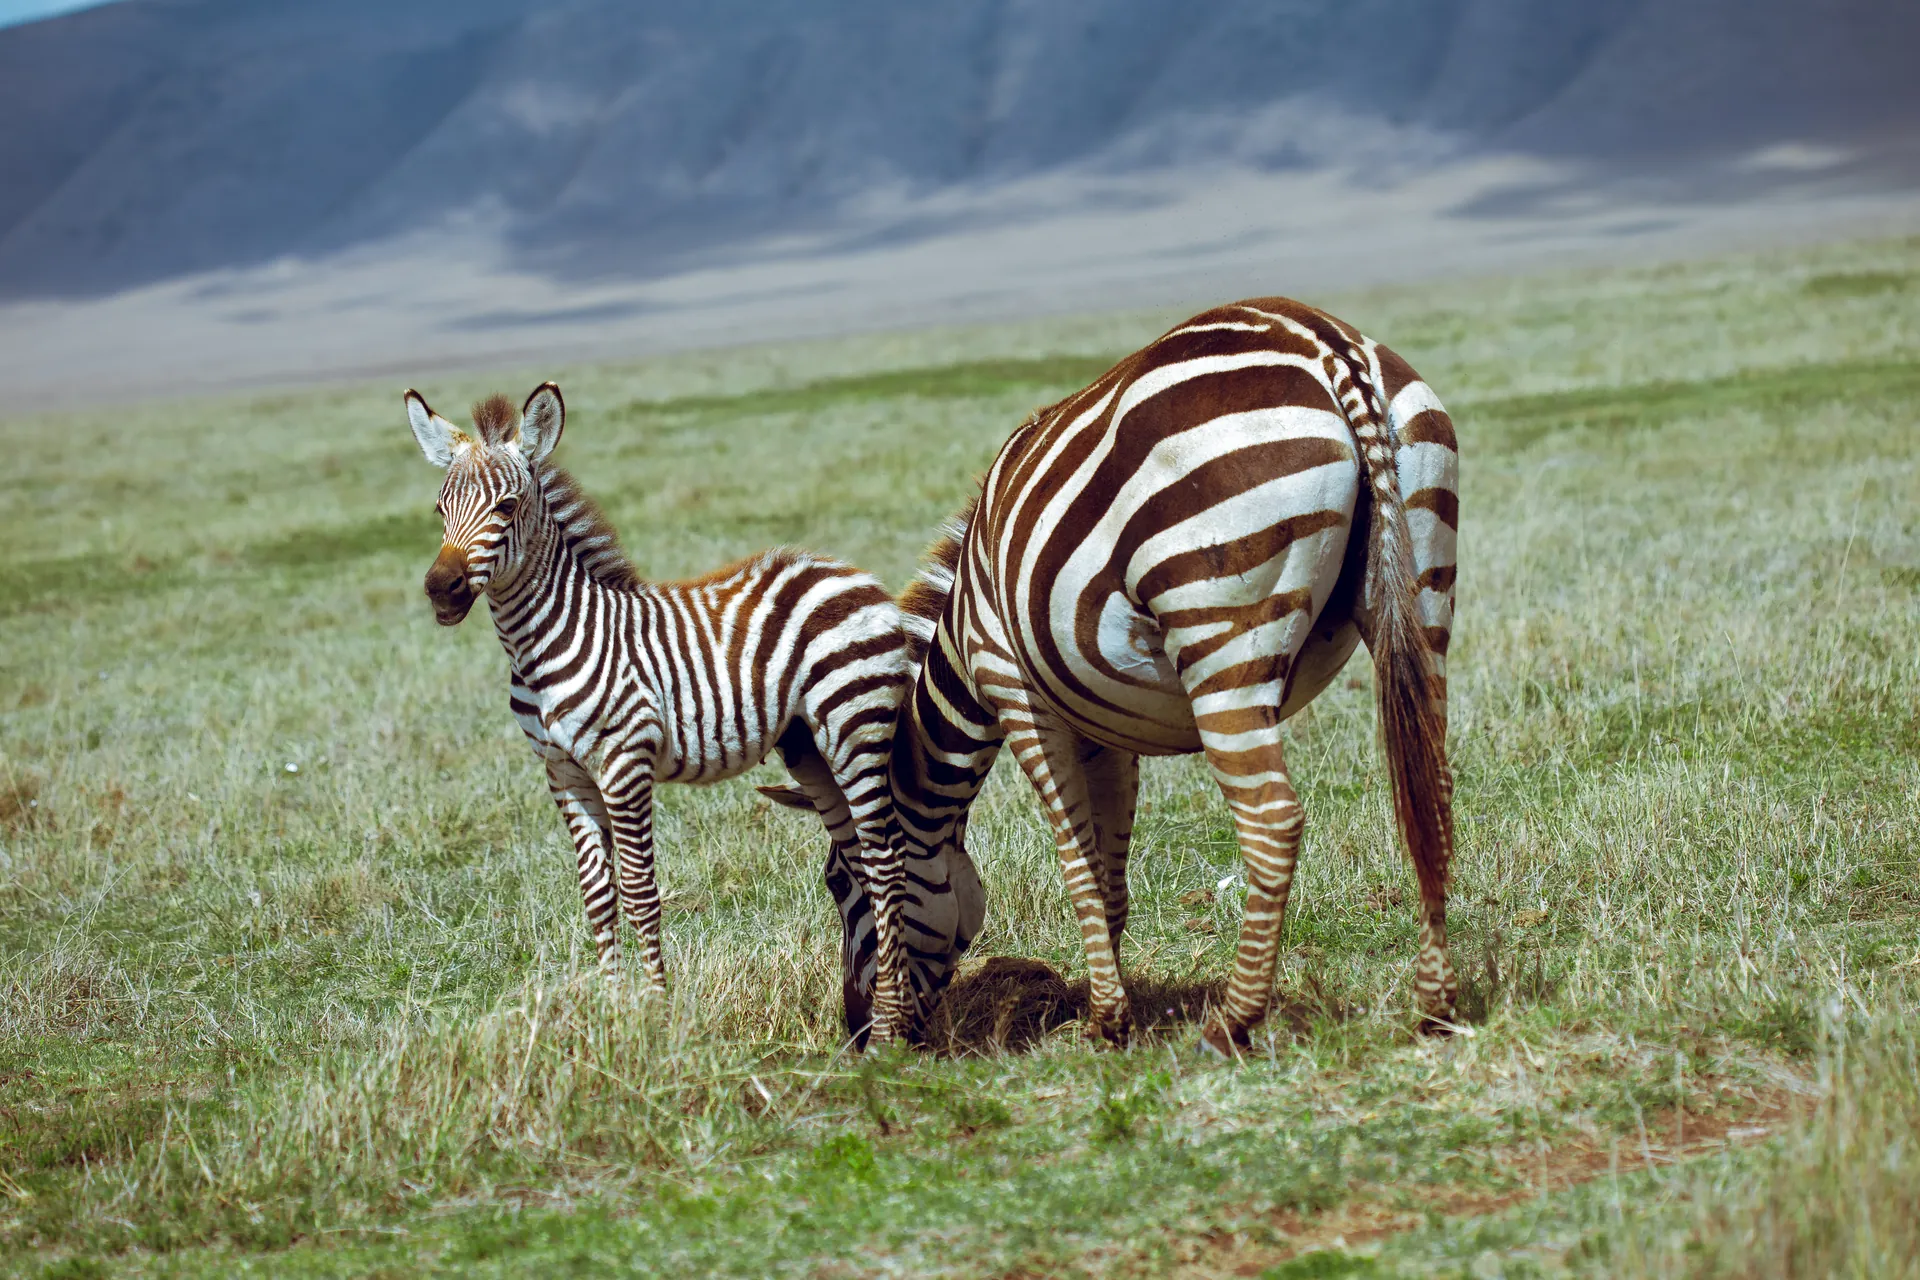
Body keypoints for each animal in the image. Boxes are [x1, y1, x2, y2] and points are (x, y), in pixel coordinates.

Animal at [401, 381, 972, 1043]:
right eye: (440, 509)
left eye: (508, 506)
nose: (440, 589)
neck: (542, 644)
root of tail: (848, 573)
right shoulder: (563, 774)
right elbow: (598, 895)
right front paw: (612, 1012)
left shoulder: (624, 762)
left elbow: (639, 890)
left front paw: (653, 1011)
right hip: (807, 744)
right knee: (859, 856)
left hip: (854, 726)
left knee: (886, 862)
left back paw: (888, 1027)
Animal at [866, 298, 1462, 1053]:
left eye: (840, 887)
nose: (868, 1036)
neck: (966, 625)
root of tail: (1323, 340)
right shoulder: (1102, 730)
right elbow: (1108, 875)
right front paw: (1107, 1007)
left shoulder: (1016, 692)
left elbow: (1075, 866)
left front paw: (1103, 1020)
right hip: (1426, 581)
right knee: (1431, 788)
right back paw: (1435, 1003)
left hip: (1219, 631)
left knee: (1272, 820)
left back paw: (1232, 1023)